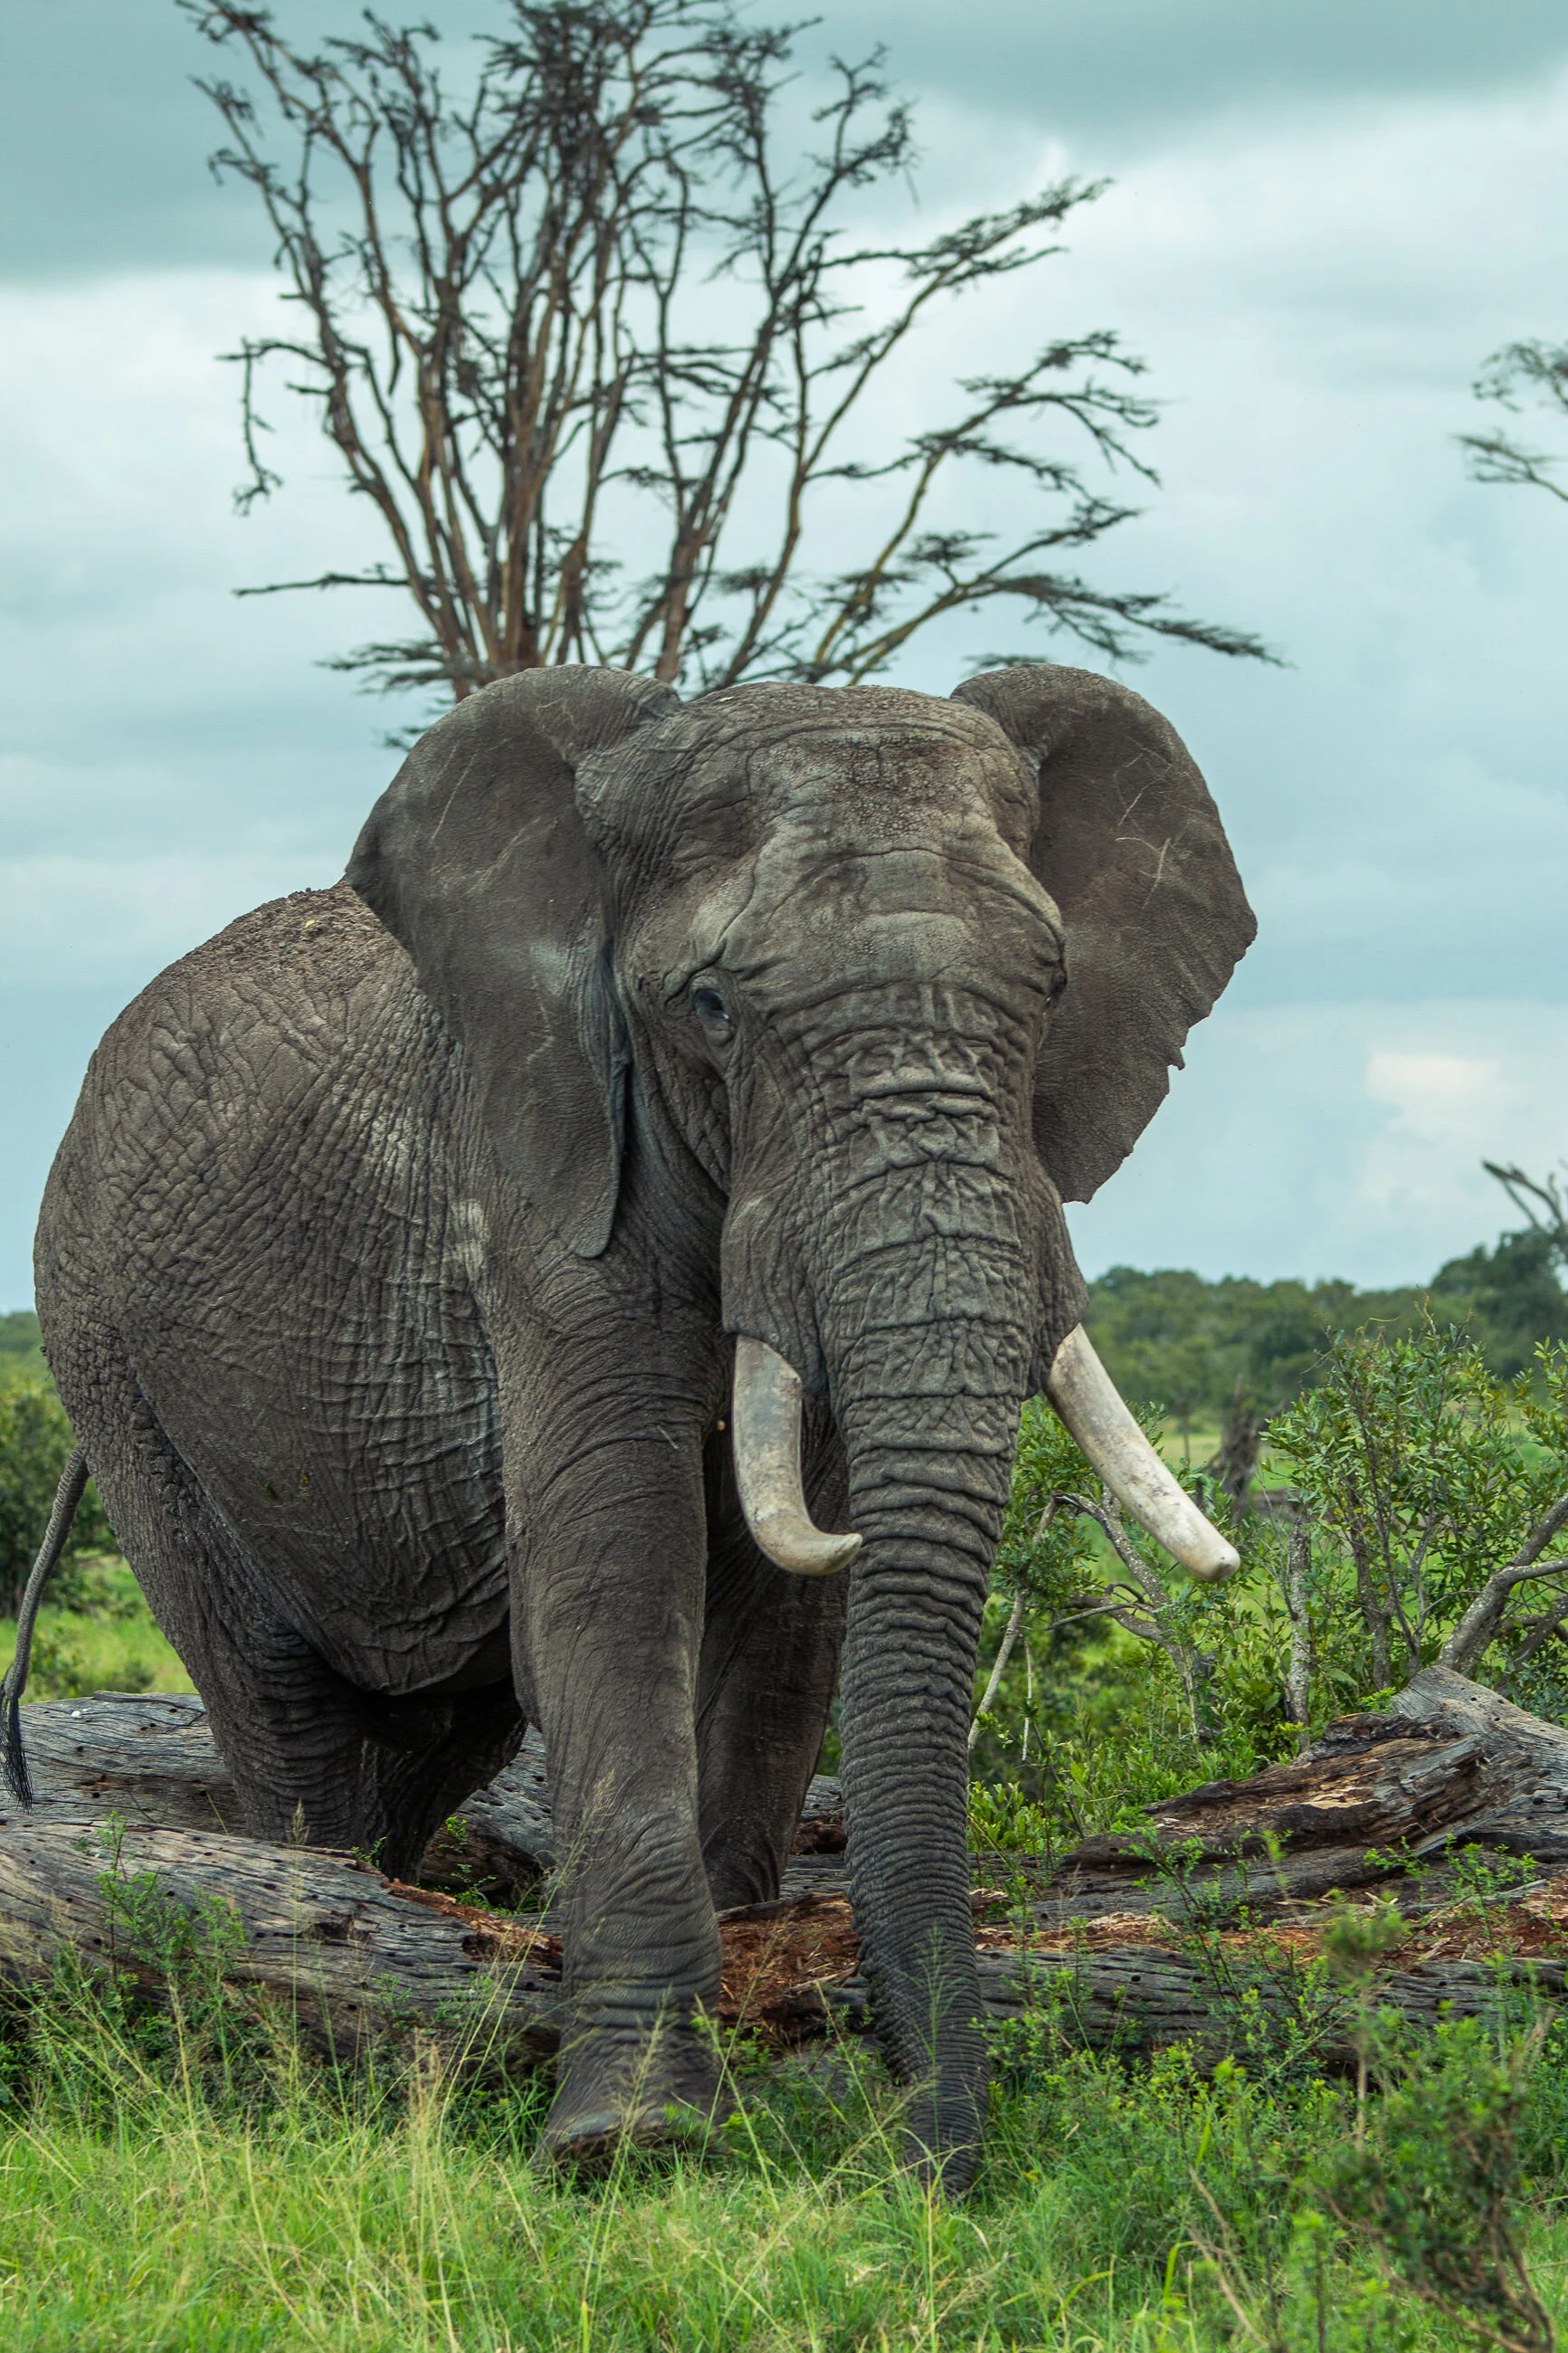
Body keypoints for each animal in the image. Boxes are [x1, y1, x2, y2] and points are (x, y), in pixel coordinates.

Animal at [29, 661, 1252, 2187]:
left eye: (1055, 986)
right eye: (712, 1004)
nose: (929, 2165)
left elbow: (789, 1628)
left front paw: (754, 2042)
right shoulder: (544, 1201)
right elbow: (618, 1568)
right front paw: (637, 2139)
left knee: (433, 1738)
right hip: (107, 1356)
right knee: (281, 1711)